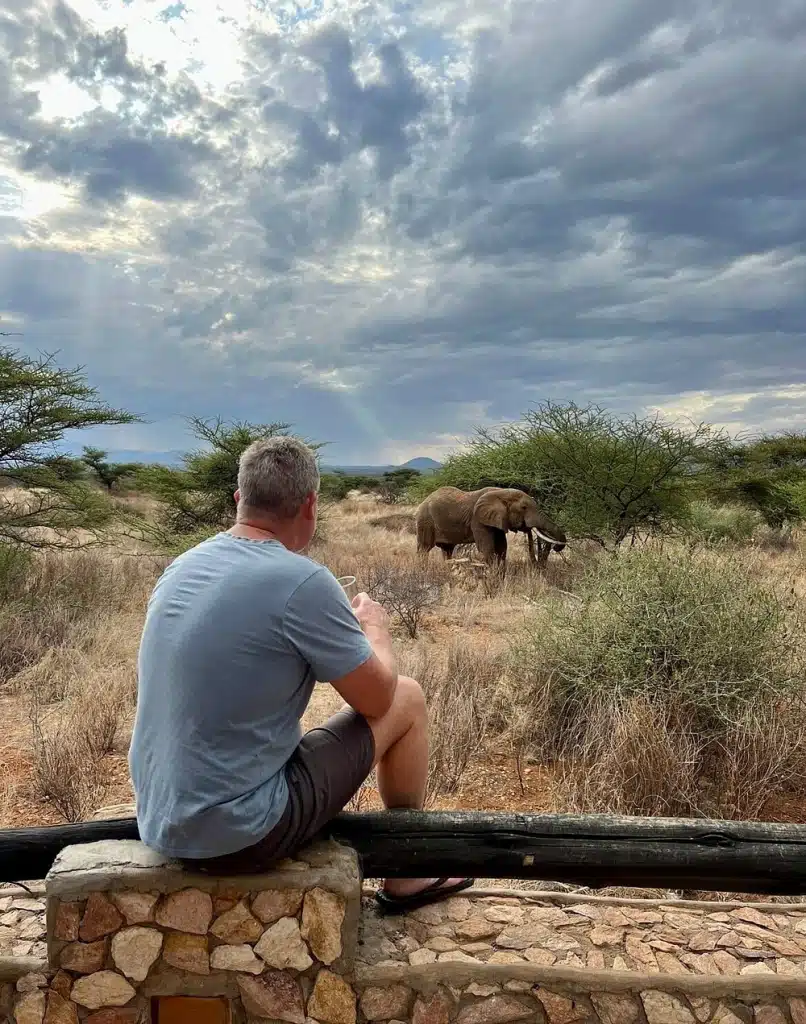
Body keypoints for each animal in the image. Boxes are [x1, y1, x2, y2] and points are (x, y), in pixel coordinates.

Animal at [415, 486, 567, 574]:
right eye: (524, 507)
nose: (556, 547)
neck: (501, 492)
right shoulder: (478, 520)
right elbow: (487, 548)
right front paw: (492, 575)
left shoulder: (498, 520)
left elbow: (502, 548)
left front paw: (499, 575)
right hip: (425, 521)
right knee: (424, 549)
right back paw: (423, 573)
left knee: (447, 550)